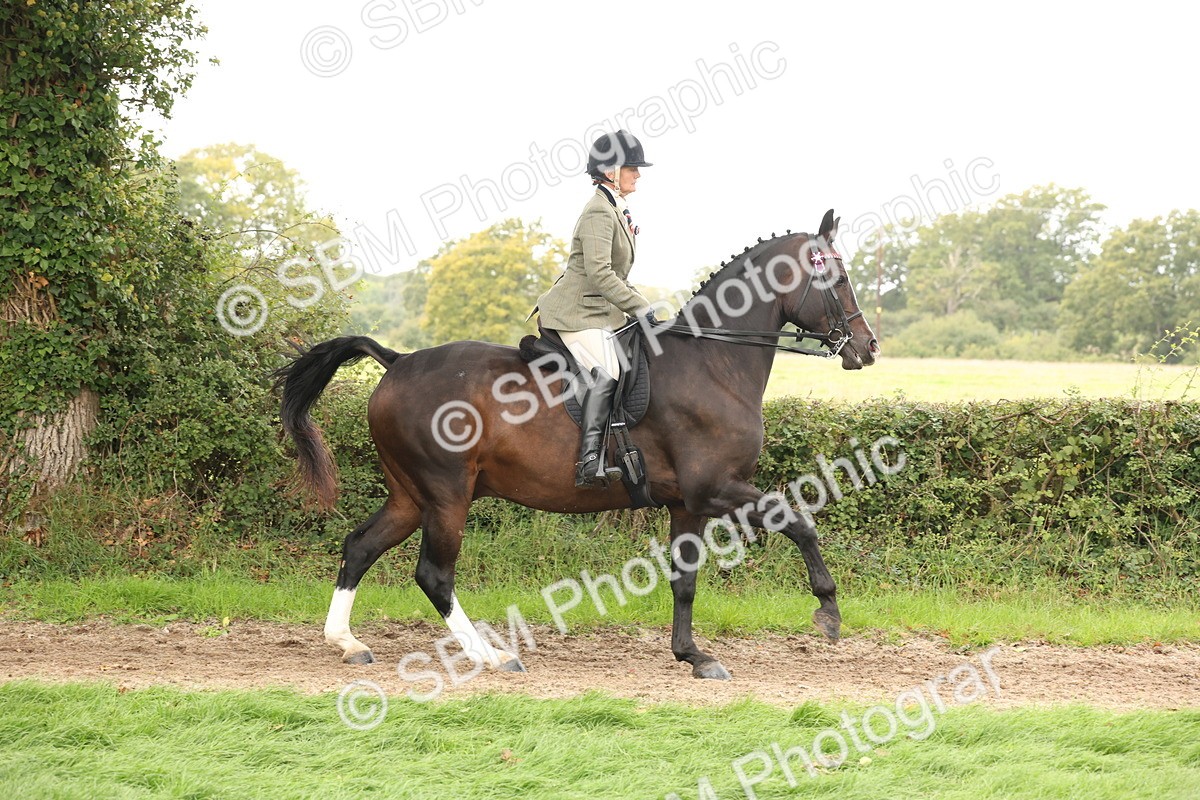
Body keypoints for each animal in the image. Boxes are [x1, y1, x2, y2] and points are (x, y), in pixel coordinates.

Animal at [276, 209, 879, 680]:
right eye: (837, 275)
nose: (867, 348)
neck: (713, 360)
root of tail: (397, 361)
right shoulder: (717, 488)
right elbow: (799, 521)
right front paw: (828, 613)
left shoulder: (689, 502)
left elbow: (684, 580)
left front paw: (693, 656)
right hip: (447, 494)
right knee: (433, 574)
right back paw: (492, 656)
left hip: (410, 494)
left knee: (360, 546)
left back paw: (348, 643)